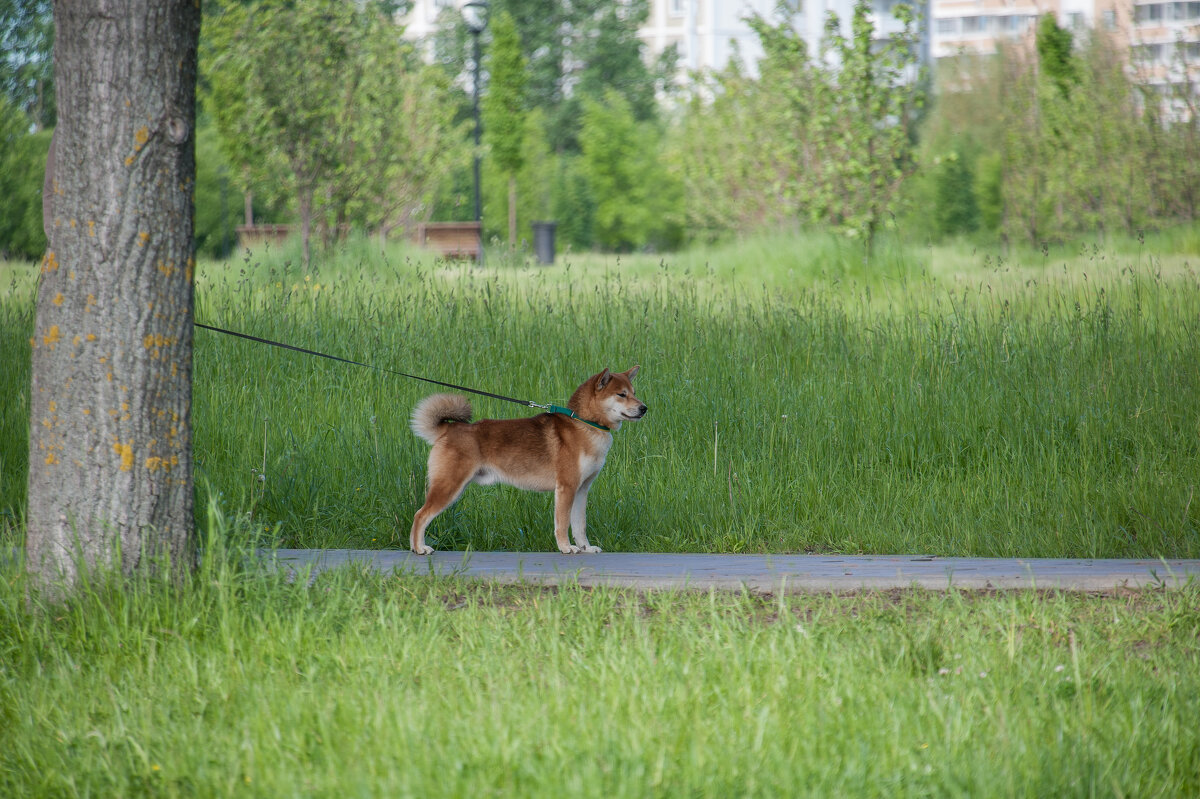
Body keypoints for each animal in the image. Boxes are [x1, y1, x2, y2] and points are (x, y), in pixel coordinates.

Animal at [408, 367, 648, 554]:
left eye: (634, 393)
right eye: (621, 394)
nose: (644, 408)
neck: (585, 424)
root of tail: (449, 429)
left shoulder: (582, 490)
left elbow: (579, 525)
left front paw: (586, 548)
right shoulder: (566, 487)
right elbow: (562, 524)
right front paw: (566, 547)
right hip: (449, 487)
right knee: (420, 515)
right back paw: (419, 548)